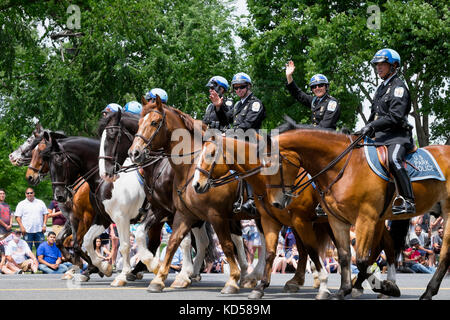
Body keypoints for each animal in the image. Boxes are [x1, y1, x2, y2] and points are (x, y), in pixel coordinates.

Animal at [190, 134, 334, 300]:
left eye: (211, 154)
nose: (196, 184)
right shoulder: (272, 220)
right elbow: (270, 252)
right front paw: (260, 286)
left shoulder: (299, 221)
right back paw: (295, 281)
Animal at [266, 123, 448, 300]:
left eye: (274, 164)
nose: (276, 202)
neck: (344, 166)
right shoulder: (336, 220)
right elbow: (344, 255)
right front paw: (343, 290)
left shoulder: (365, 219)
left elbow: (360, 260)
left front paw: (385, 287)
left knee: (443, 251)